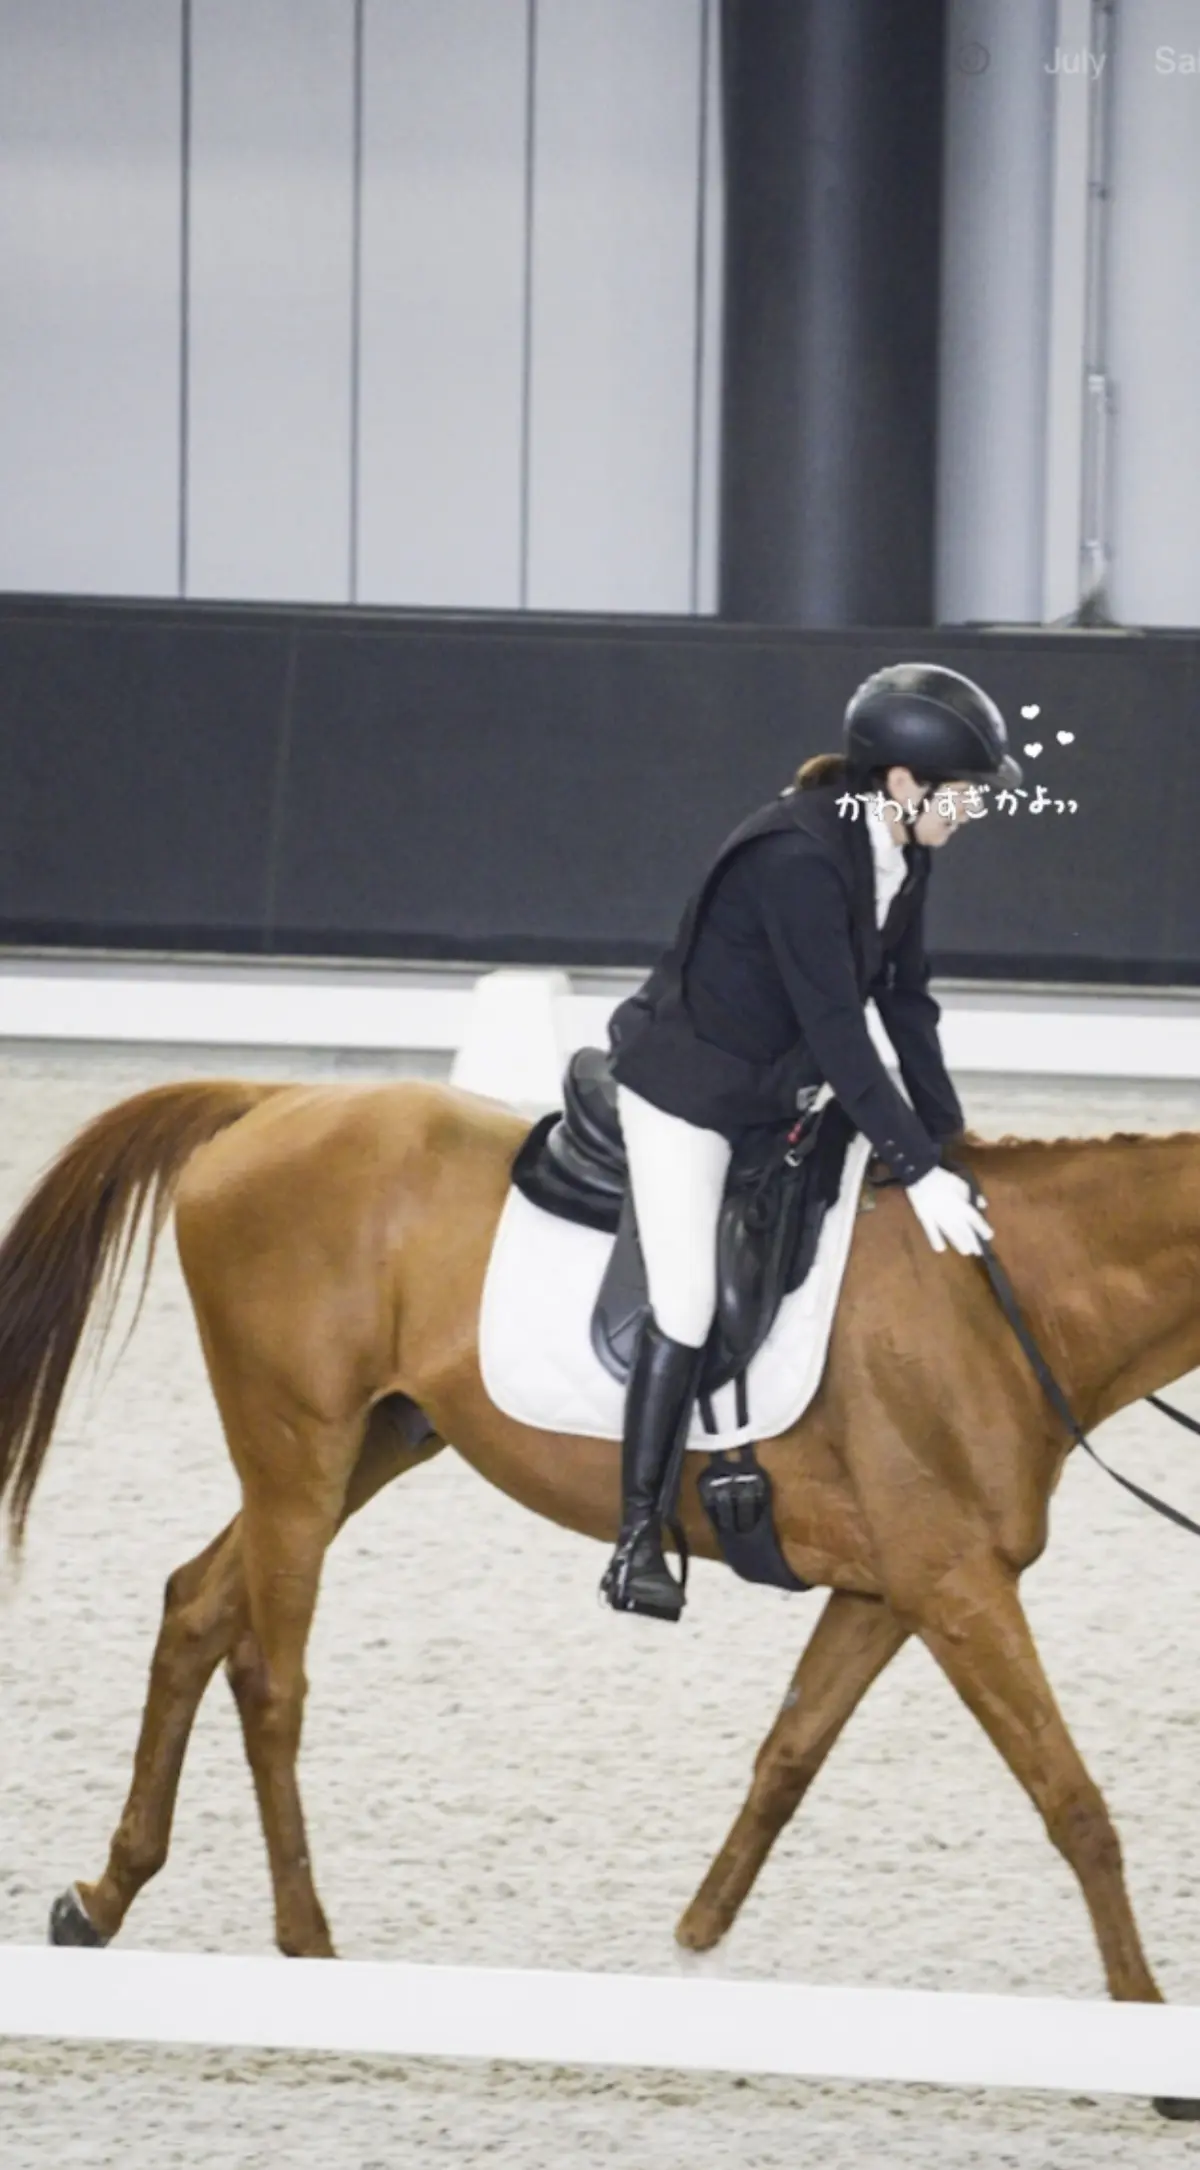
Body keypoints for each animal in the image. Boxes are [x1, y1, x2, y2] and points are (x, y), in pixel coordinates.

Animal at [0, 1074, 1198, 2113]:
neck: (1002, 1300)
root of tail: (274, 1100)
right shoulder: (955, 1588)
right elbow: (1075, 1804)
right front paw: (1150, 2039)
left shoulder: (892, 1591)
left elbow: (789, 1754)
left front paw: (693, 1948)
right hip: (298, 1452)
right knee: (270, 1680)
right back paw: (310, 1948)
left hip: (366, 1449)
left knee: (195, 1607)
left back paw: (100, 1900)